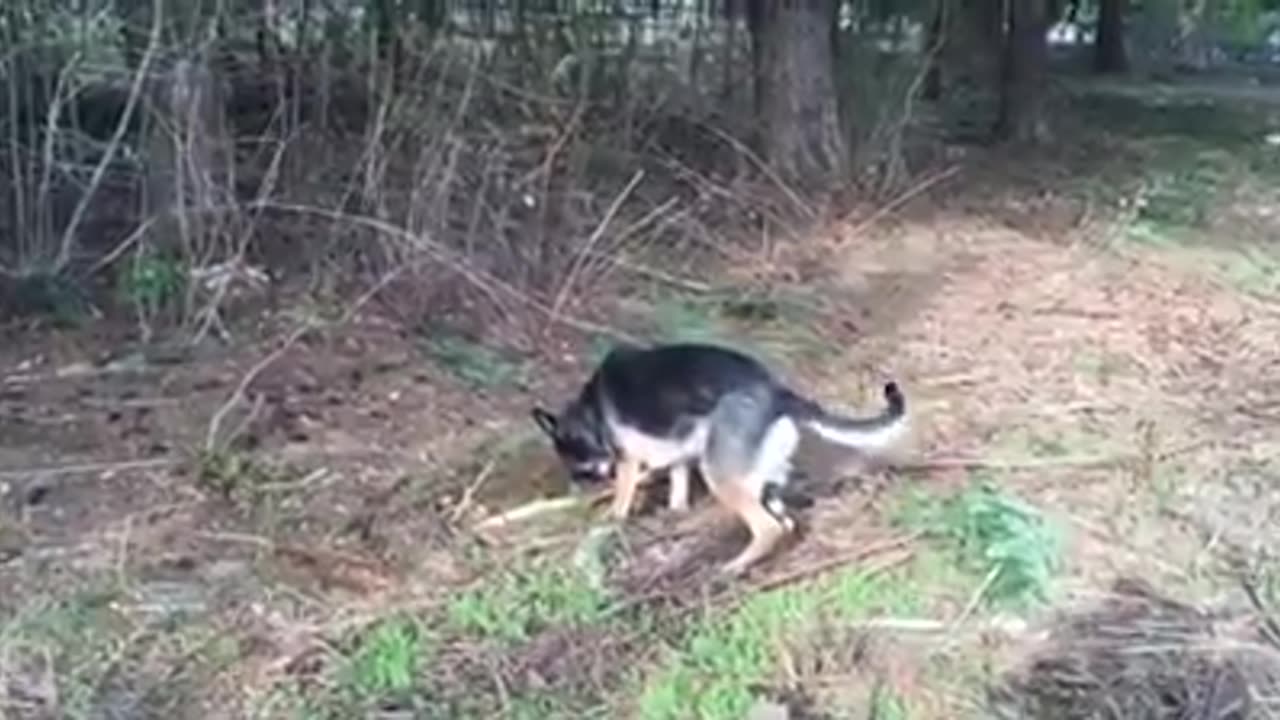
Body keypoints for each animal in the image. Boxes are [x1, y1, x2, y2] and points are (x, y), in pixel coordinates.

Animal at [529, 340, 911, 571]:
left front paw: (612, 517)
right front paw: (674, 512)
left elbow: (623, 498)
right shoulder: (678, 453)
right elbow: (677, 486)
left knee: (768, 528)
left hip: (720, 474)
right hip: (758, 479)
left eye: (580, 469)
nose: (579, 489)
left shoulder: (627, 462)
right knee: (785, 522)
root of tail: (776, 392)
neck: (589, 413)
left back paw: (736, 566)